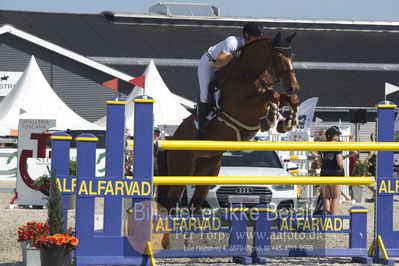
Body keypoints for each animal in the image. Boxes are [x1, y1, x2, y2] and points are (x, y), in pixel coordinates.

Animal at [156, 32, 300, 247]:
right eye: (280, 57)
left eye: (292, 57)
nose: (293, 87)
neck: (247, 74)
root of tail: (173, 138)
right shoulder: (242, 108)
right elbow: (271, 95)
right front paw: (271, 118)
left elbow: (287, 99)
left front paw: (286, 121)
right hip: (181, 171)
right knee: (171, 205)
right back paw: (167, 242)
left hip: (207, 172)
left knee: (194, 206)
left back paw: (193, 242)